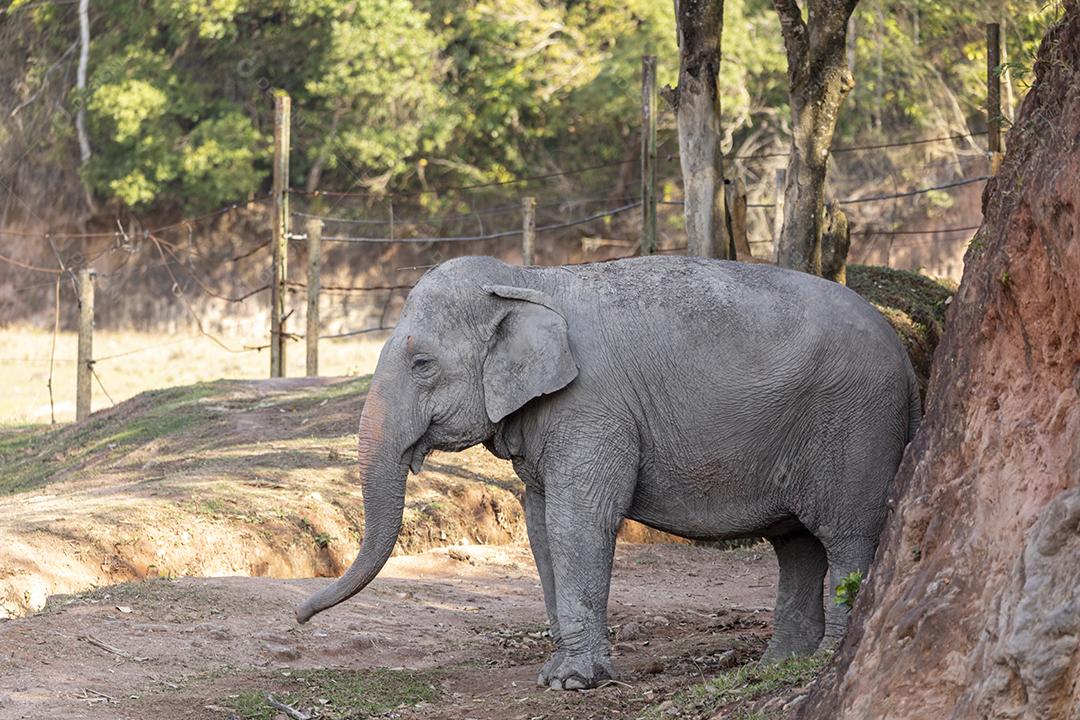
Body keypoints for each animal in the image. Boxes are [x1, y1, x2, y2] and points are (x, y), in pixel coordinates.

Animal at [295, 255, 920, 690]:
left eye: (422, 362)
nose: (299, 615)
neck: (526, 277)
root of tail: (910, 356)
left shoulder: (591, 407)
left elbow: (579, 518)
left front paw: (571, 683)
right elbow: (540, 520)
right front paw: (560, 670)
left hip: (854, 426)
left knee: (845, 536)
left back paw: (827, 656)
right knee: (796, 544)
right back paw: (779, 664)